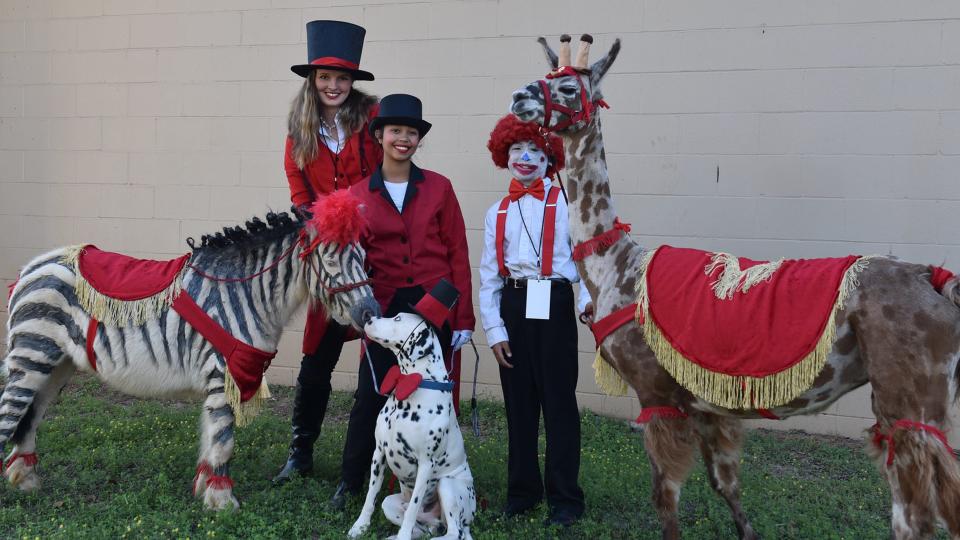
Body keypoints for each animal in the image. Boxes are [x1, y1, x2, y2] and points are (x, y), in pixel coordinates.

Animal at [0, 191, 378, 510]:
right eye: (330, 261)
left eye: (363, 258)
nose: (371, 313)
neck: (247, 294)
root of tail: (33, 266)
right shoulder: (221, 373)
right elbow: (224, 440)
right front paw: (224, 503)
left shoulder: (218, 380)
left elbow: (211, 437)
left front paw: (206, 491)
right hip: (32, 354)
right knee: (11, 413)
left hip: (56, 363)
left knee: (30, 416)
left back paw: (26, 480)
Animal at [348, 312, 476, 540]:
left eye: (398, 318)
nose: (369, 318)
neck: (413, 384)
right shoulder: (378, 453)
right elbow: (370, 496)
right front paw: (360, 526)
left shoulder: (425, 465)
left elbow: (414, 507)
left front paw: (402, 535)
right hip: (390, 503)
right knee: (426, 528)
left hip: (448, 485)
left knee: (454, 533)